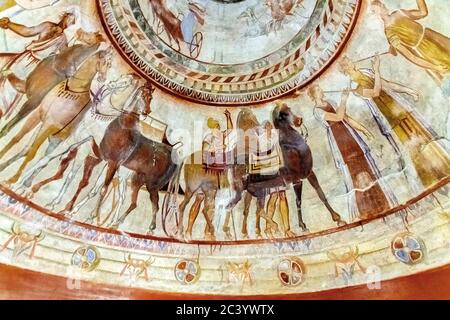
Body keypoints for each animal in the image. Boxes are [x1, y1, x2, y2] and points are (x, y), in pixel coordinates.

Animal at [0, 47, 112, 185]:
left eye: (110, 65)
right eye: (105, 62)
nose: (103, 78)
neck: (73, 88)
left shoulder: (50, 124)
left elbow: (33, 153)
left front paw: (13, 179)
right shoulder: (37, 114)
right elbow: (16, 138)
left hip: (56, 141)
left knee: (42, 158)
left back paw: (27, 182)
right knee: (29, 151)